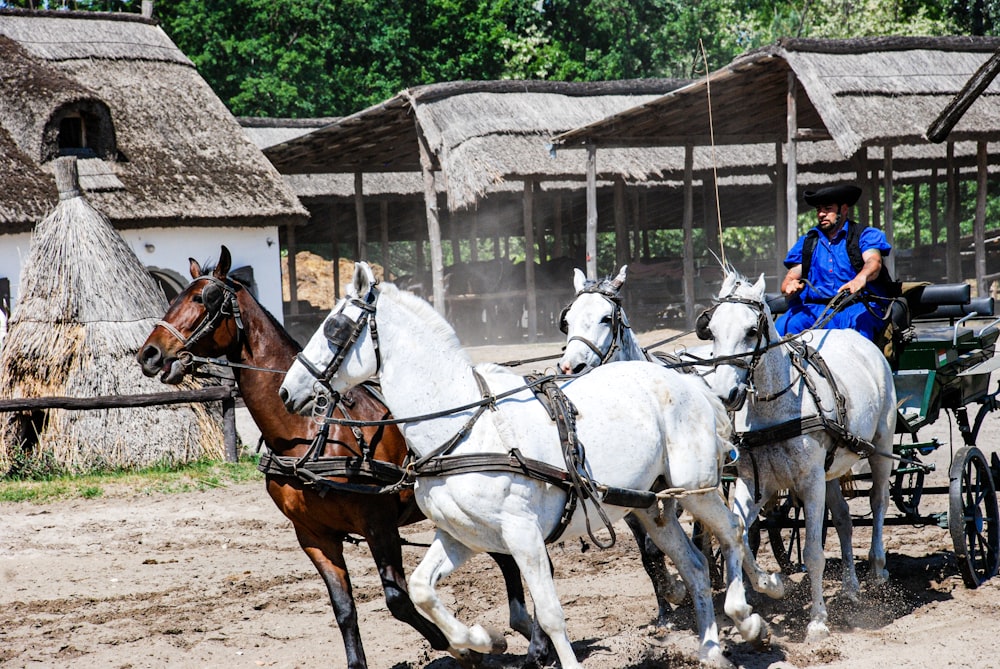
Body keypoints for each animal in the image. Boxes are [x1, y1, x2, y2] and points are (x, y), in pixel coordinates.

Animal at [136, 247, 552, 668]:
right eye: (173, 297)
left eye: (203, 299)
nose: (149, 354)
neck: (309, 431)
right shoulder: (313, 536)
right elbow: (344, 609)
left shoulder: (379, 525)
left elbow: (398, 600)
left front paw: (462, 647)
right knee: (507, 559)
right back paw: (523, 626)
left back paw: (537, 644)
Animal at [282, 260, 772, 668]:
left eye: (334, 328)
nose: (288, 391)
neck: (463, 428)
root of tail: (693, 384)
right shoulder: (462, 536)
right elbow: (421, 589)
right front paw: (479, 640)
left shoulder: (523, 535)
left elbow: (551, 614)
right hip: (651, 504)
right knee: (694, 564)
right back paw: (711, 650)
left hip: (697, 489)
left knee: (731, 531)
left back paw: (749, 614)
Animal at [696, 268, 900, 640]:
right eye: (712, 330)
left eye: (752, 331)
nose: (725, 394)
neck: (774, 408)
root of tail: (860, 340)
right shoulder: (757, 483)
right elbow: (739, 535)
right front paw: (771, 587)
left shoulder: (809, 482)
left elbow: (813, 552)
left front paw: (818, 621)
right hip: (830, 471)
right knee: (844, 519)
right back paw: (850, 587)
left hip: (881, 445)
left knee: (879, 501)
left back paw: (878, 568)